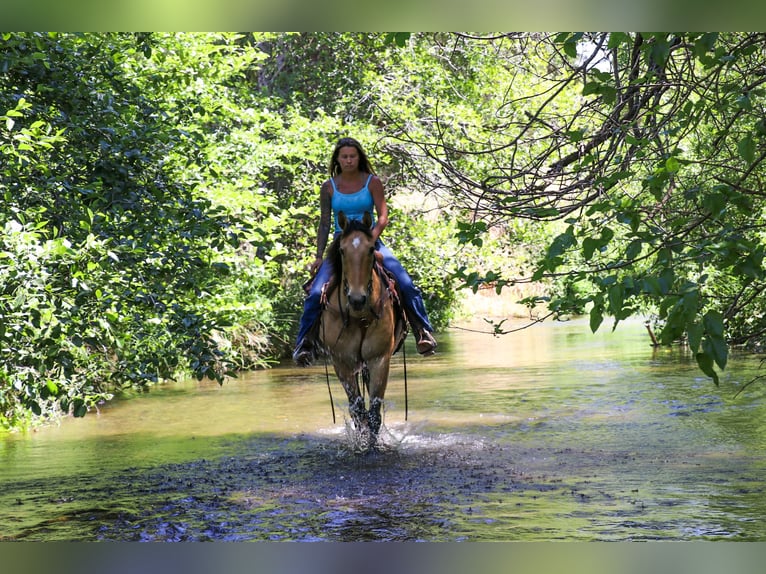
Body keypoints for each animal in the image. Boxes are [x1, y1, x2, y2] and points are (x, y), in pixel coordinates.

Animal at [318, 210, 408, 450]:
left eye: (370, 249)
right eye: (342, 250)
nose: (357, 299)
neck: (359, 317)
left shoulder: (379, 359)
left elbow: (374, 412)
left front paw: (373, 447)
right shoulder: (342, 362)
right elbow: (357, 410)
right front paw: (361, 444)